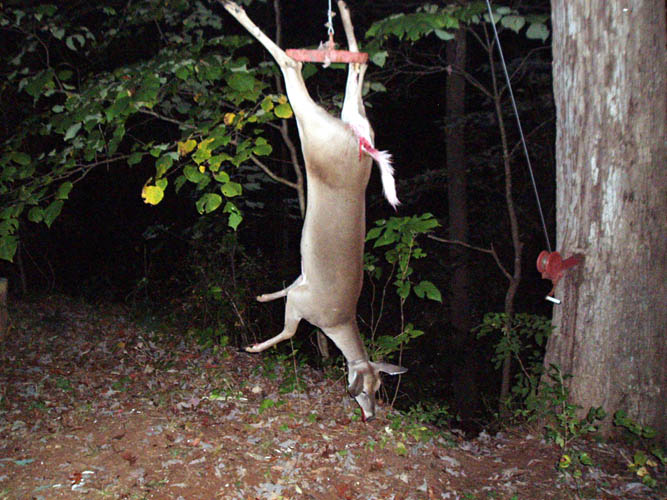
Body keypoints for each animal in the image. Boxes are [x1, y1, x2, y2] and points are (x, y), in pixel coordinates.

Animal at [220, 0, 406, 421]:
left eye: (379, 389)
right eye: (365, 389)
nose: (371, 417)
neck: (336, 321)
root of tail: (362, 145)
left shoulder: (303, 287)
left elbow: (288, 285)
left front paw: (262, 298)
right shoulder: (305, 305)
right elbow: (290, 331)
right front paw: (254, 347)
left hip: (348, 126)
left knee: (355, 69)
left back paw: (343, 18)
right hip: (318, 135)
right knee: (292, 64)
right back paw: (241, 12)